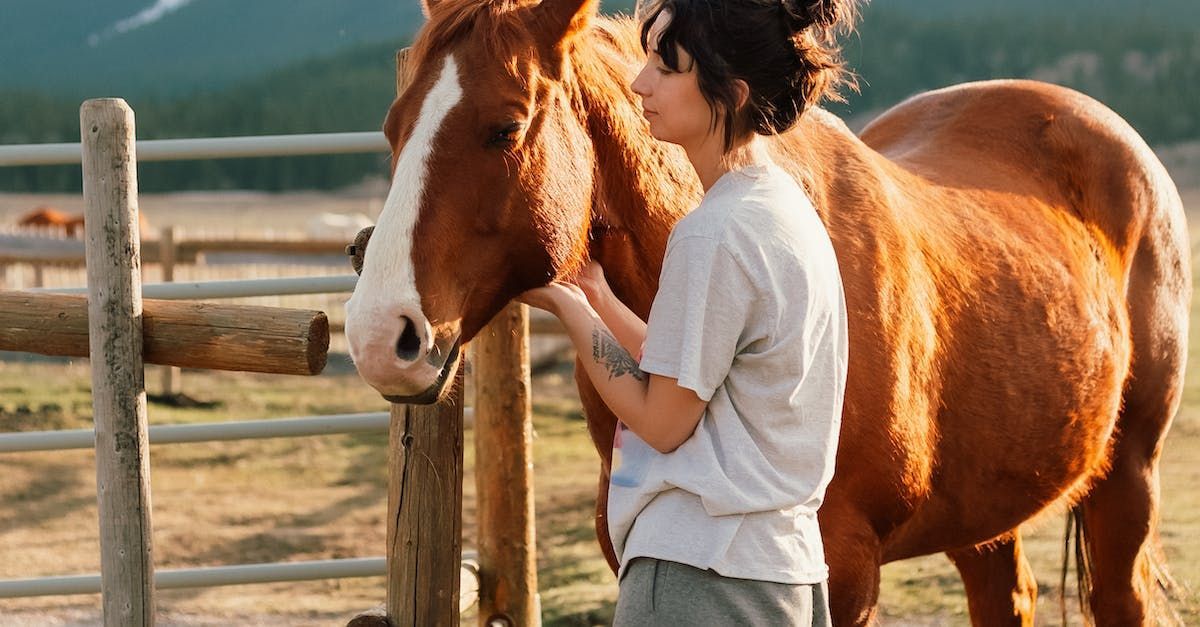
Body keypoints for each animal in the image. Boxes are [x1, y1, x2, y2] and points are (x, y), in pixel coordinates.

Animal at [343, 0, 1195, 619]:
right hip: (991, 503)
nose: (380, 336)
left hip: (1128, 476)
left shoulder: (842, 569)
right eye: (391, 129)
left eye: (504, 127)